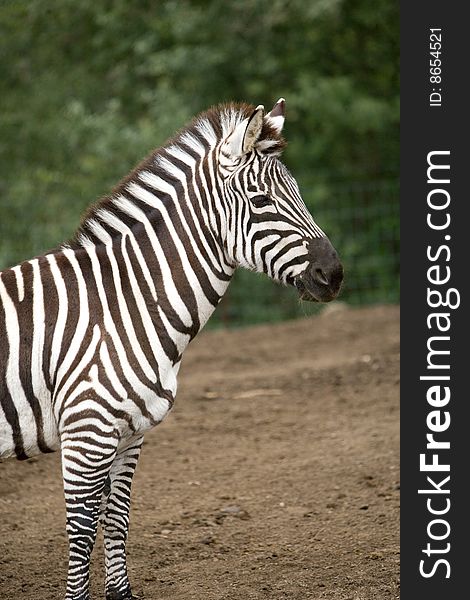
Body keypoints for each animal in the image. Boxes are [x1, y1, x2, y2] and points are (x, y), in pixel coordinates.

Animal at [1, 99, 344, 600]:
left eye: (299, 193)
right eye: (261, 201)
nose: (333, 276)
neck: (123, 306)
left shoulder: (129, 434)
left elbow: (117, 519)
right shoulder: (87, 433)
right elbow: (82, 531)